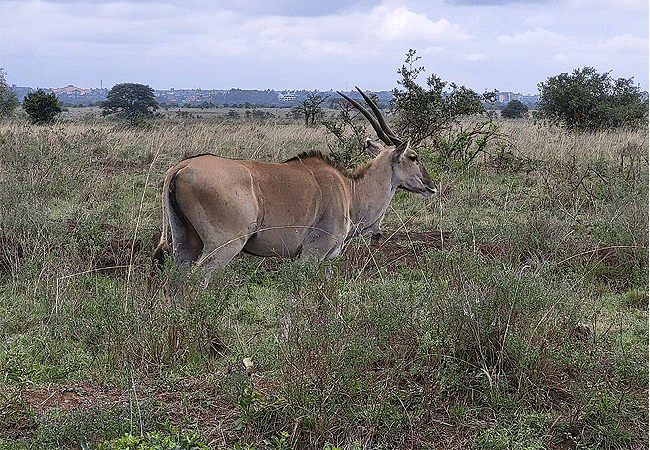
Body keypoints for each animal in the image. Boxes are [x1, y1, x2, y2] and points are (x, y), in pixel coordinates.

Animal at [153, 86, 436, 280]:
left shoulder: (325, 259)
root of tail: (180, 167)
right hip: (223, 246)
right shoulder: (312, 255)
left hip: (184, 243)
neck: (349, 190)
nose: (431, 186)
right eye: (413, 156)